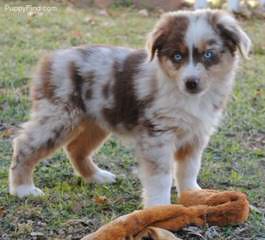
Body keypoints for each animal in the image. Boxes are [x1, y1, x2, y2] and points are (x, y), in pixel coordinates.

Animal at [9, 9, 251, 207]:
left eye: (209, 54)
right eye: (177, 56)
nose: (191, 83)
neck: (187, 97)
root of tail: (51, 58)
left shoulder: (195, 135)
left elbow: (189, 169)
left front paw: (194, 194)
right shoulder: (157, 136)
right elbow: (161, 177)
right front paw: (159, 209)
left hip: (97, 121)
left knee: (76, 148)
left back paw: (96, 176)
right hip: (58, 117)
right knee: (24, 144)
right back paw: (23, 188)